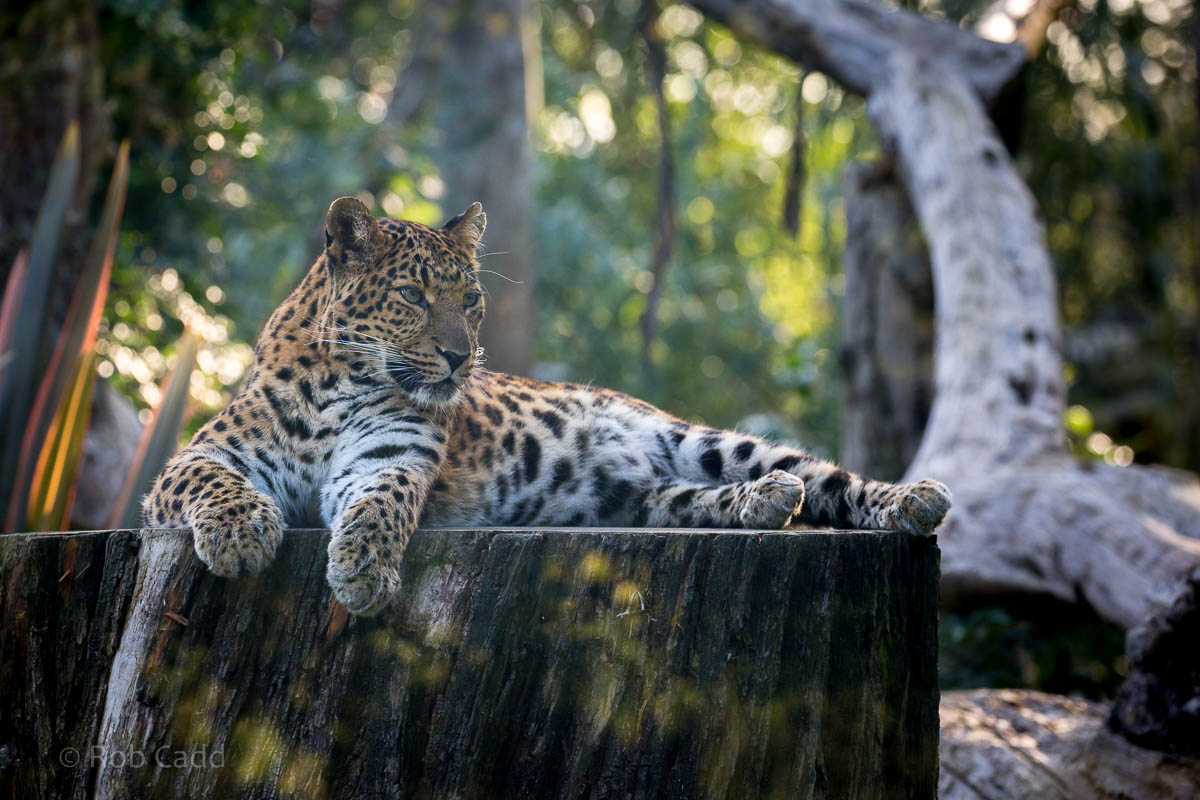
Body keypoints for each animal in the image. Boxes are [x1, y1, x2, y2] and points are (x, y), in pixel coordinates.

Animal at [143, 197, 952, 615]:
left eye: (470, 299)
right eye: (412, 296)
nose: (459, 357)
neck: (337, 385)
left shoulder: (387, 457)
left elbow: (381, 504)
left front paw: (364, 570)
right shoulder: (196, 456)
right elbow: (213, 482)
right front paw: (242, 534)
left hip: (704, 441)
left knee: (826, 479)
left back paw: (909, 499)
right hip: (642, 503)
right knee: (698, 500)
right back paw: (763, 503)